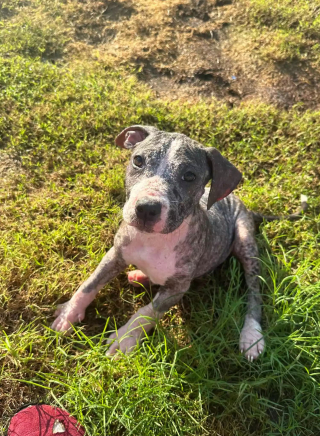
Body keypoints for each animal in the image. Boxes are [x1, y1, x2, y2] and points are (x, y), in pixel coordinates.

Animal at [51, 124, 264, 360]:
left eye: (189, 176)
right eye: (138, 160)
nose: (146, 208)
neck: (153, 239)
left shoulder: (178, 288)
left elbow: (146, 311)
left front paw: (125, 338)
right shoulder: (115, 254)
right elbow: (90, 283)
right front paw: (69, 312)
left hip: (245, 241)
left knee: (254, 291)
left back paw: (252, 335)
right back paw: (140, 275)